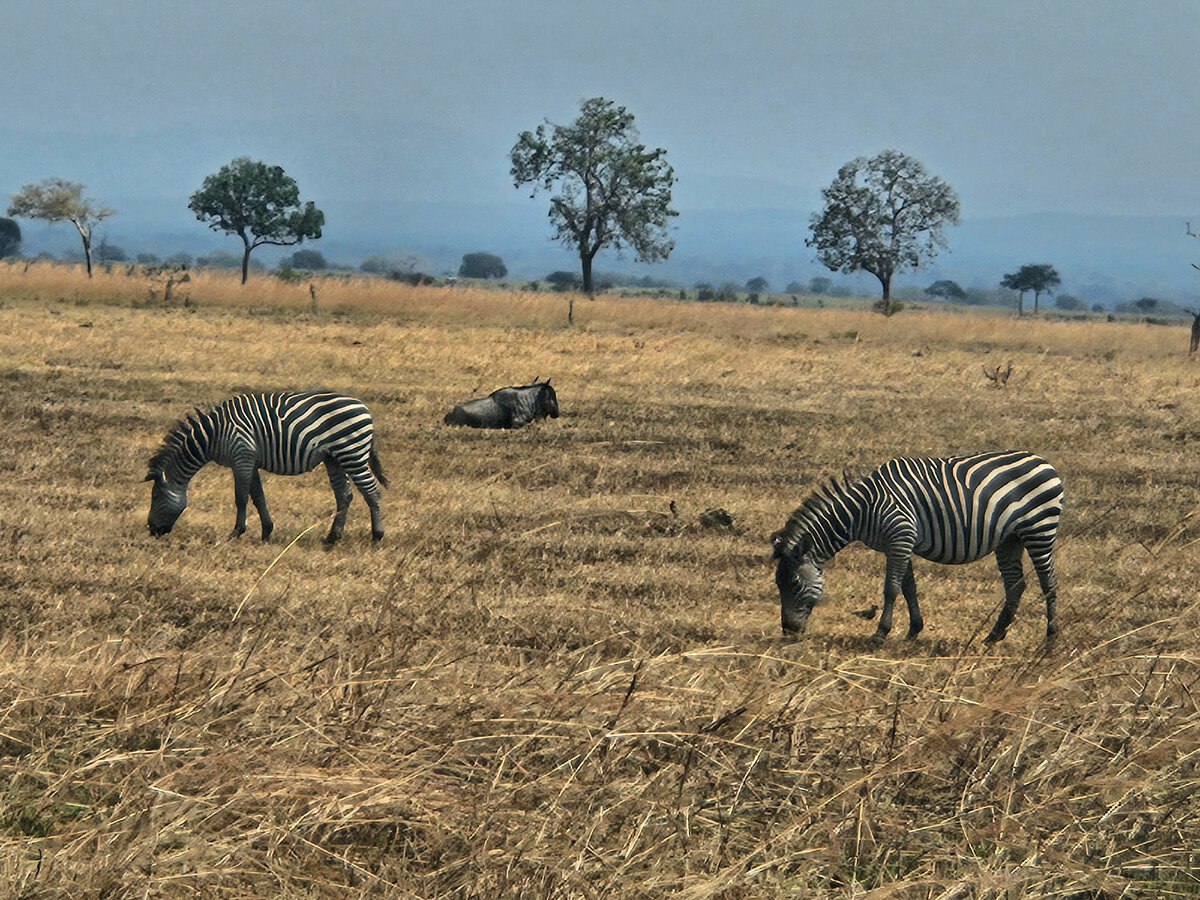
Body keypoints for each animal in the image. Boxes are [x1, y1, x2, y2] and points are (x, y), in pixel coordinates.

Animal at [144, 391, 388, 547]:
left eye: (155, 497)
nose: (151, 530)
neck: (212, 435)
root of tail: (364, 407)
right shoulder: (250, 460)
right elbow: (258, 497)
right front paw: (266, 532)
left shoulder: (242, 455)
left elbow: (241, 497)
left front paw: (236, 533)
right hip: (334, 458)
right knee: (344, 495)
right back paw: (332, 537)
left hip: (352, 453)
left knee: (371, 492)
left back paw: (377, 536)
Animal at [768, 453, 1060, 643]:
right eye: (778, 585)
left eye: (794, 584)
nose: (788, 631)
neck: (862, 510)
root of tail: (1043, 460)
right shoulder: (898, 543)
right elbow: (908, 587)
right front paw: (913, 630)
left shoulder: (900, 537)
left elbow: (891, 588)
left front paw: (880, 633)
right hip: (1010, 539)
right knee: (1015, 584)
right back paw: (994, 636)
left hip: (1039, 529)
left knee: (1048, 582)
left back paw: (1051, 637)